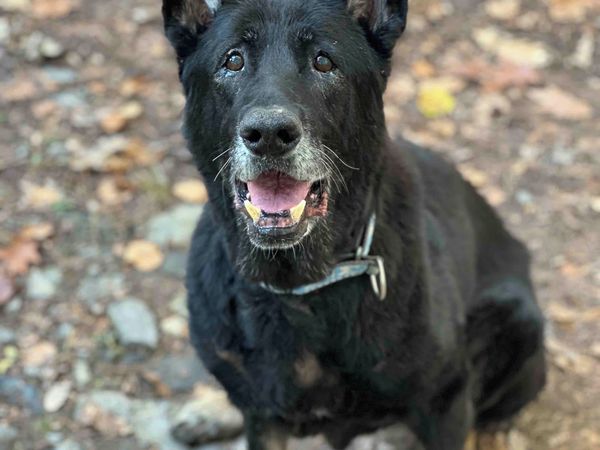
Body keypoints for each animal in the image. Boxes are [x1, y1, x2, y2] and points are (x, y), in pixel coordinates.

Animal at [162, 1, 546, 449]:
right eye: (233, 60)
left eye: (324, 61)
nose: (269, 134)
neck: (300, 287)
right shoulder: (263, 416)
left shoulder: (445, 400)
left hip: (516, 320)